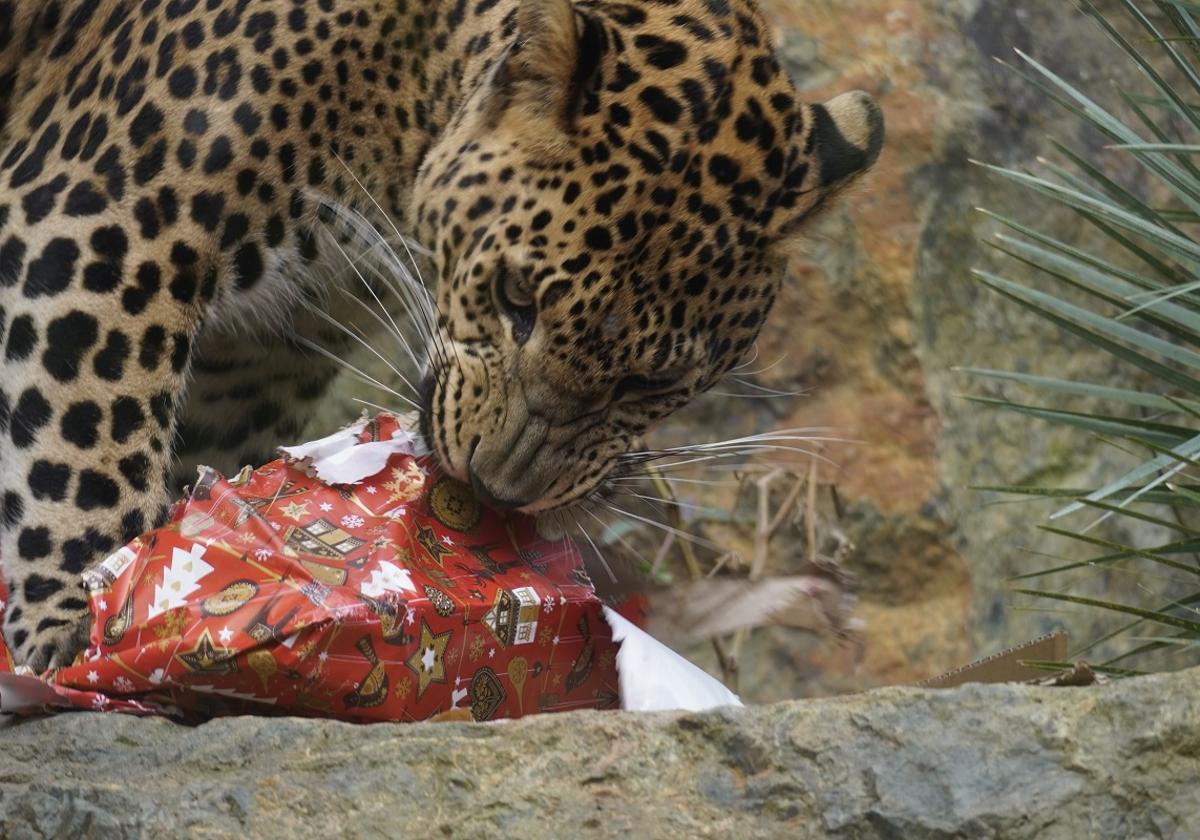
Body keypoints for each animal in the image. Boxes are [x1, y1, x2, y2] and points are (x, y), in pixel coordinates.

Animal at [0, 0, 883, 672]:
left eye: (652, 382)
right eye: (517, 297)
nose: (498, 488)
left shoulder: (261, 358)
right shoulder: (99, 219)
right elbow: (86, 440)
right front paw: (72, 625)